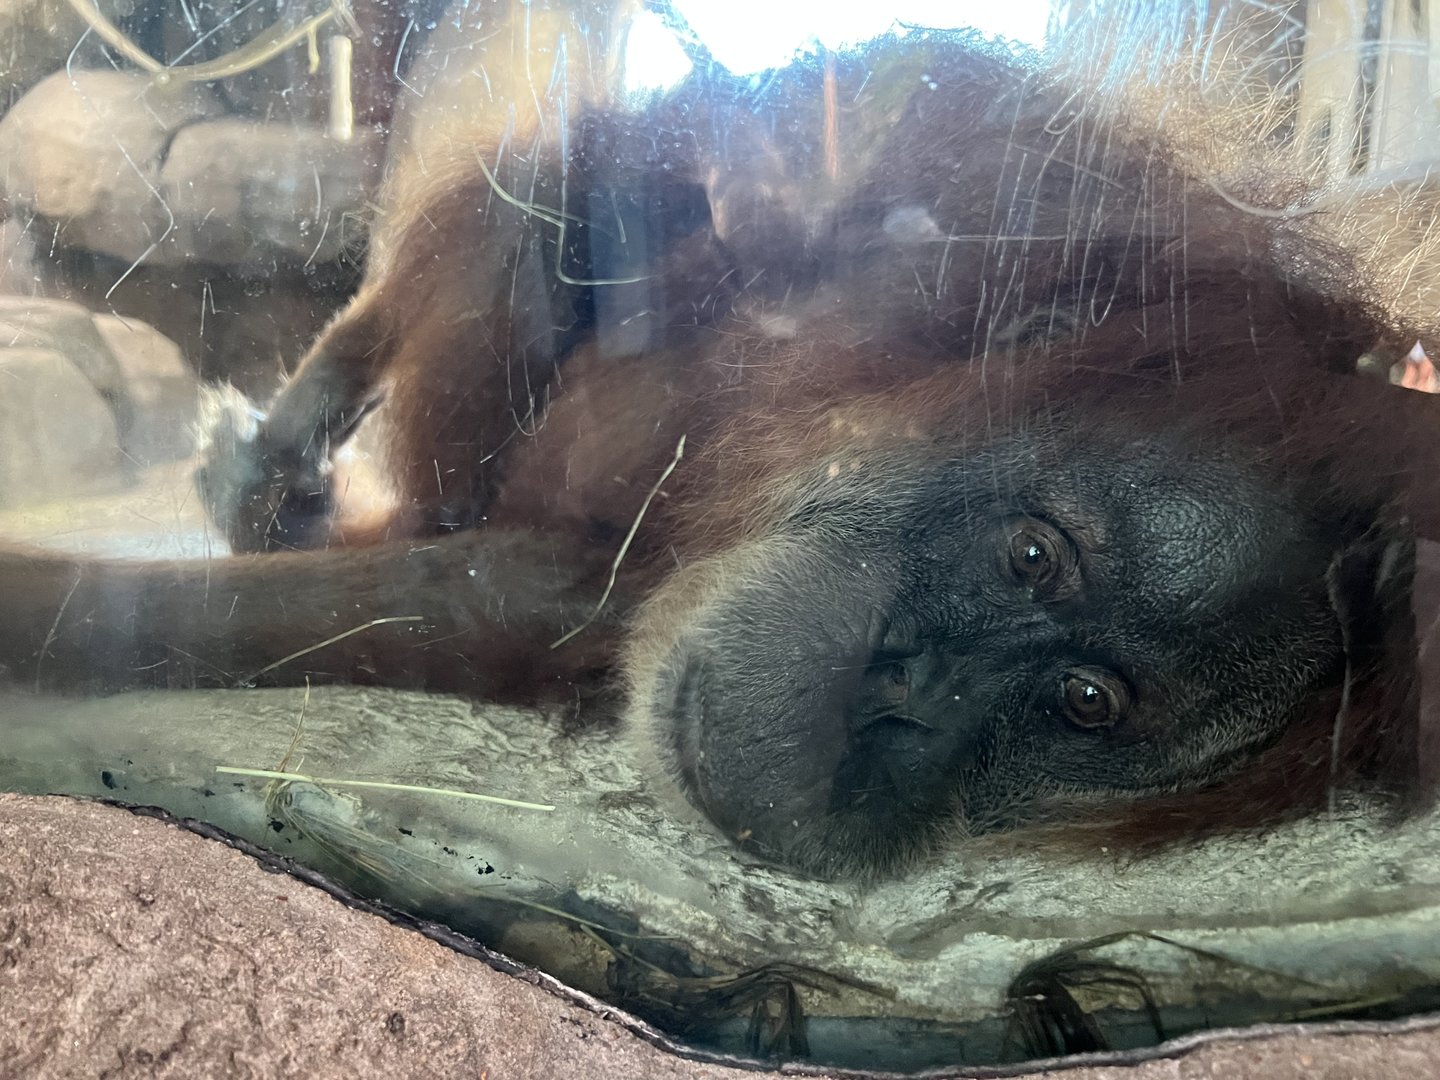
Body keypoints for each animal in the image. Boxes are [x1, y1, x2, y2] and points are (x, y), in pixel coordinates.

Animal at [1, 10, 1436, 880]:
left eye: (1085, 704)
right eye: (1033, 557)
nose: (895, 705)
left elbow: (483, 603)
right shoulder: (979, 146)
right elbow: (632, 161)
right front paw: (295, 423)